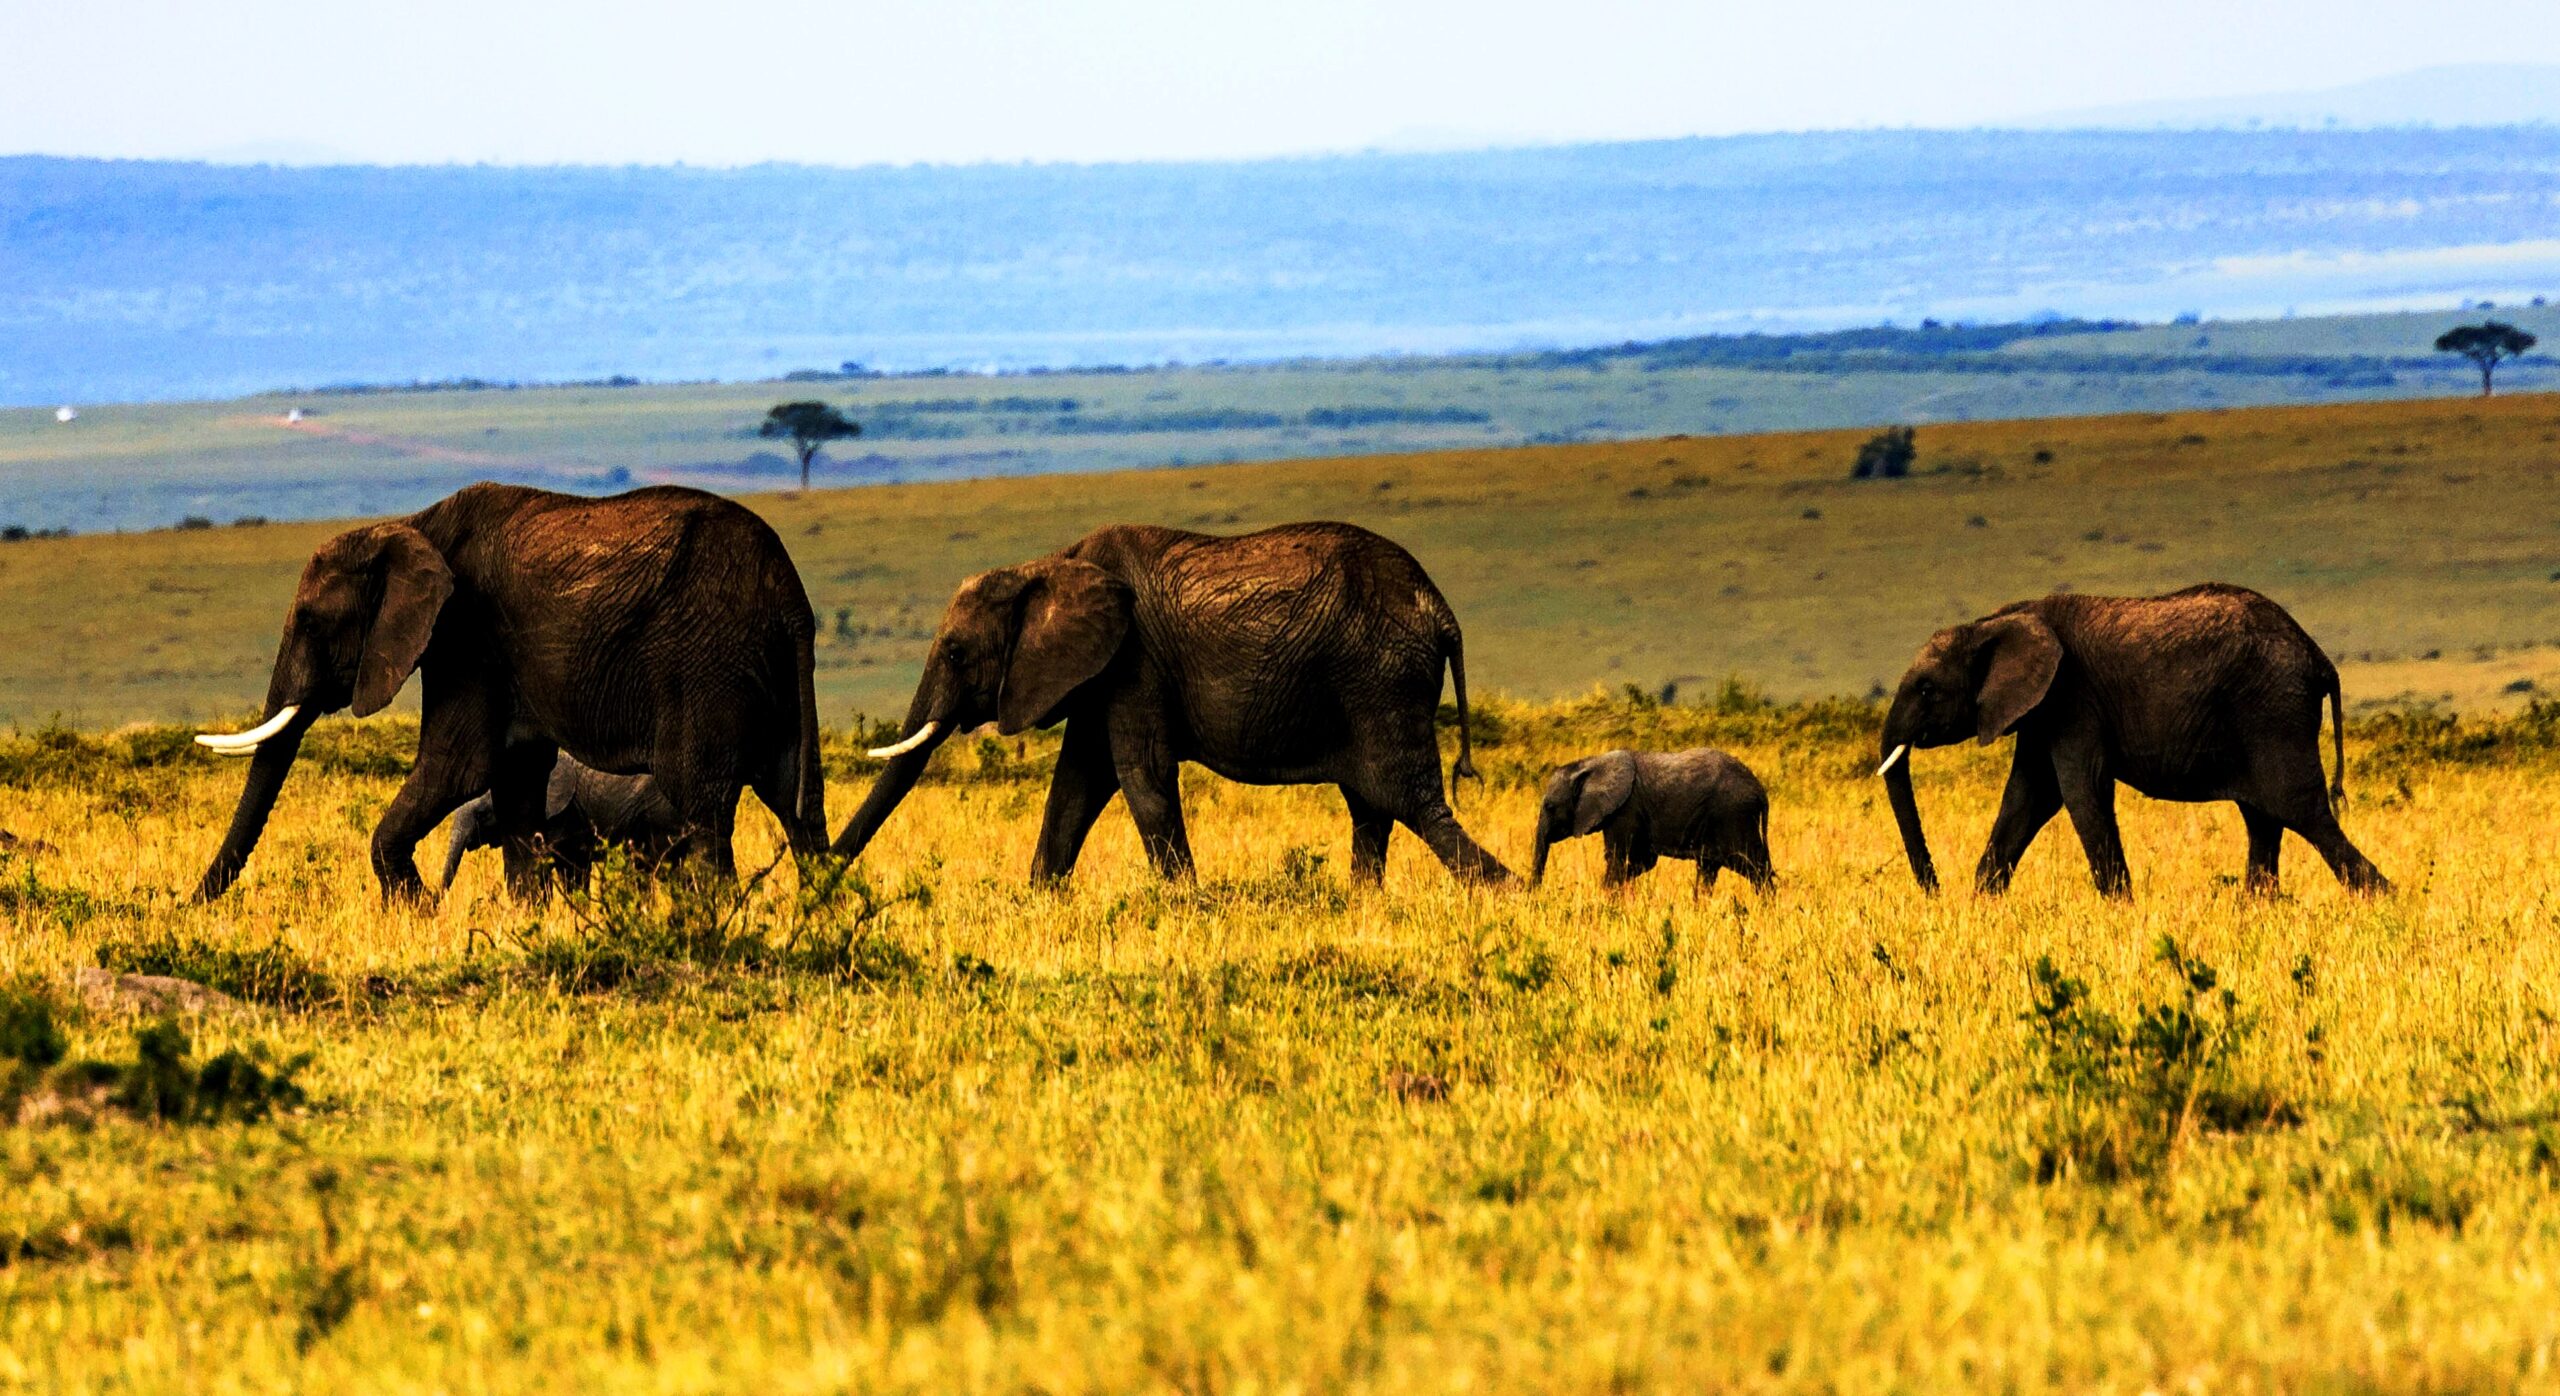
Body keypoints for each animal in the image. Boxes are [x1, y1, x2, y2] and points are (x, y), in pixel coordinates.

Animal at [829, 522, 1505, 881]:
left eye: (954, 653)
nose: (819, 877)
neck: (1048, 564)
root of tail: (1441, 610)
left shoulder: (1135, 662)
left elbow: (1141, 774)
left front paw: (1188, 904)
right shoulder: (1100, 673)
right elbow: (1076, 785)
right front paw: (1037, 901)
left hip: (1379, 679)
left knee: (1410, 803)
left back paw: (1510, 896)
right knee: (1372, 808)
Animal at [1525, 753, 1771, 891]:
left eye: (1550, 807)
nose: (1535, 892)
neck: (1590, 764)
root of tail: (1760, 790)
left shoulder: (1625, 810)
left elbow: (1617, 859)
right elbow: (1643, 861)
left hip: (1734, 817)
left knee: (1754, 867)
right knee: (1708, 870)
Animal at [1873, 581, 2385, 896]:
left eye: (1927, 689)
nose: (1935, 891)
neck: (1993, 622)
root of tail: (2319, 658)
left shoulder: (2073, 697)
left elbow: (2080, 793)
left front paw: (2121, 908)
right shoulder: (2041, 710)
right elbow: (2027, 798)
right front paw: (1981, 904)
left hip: (2274, 713)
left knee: (2302, 812)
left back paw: (2383, 900)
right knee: (2263, 819)